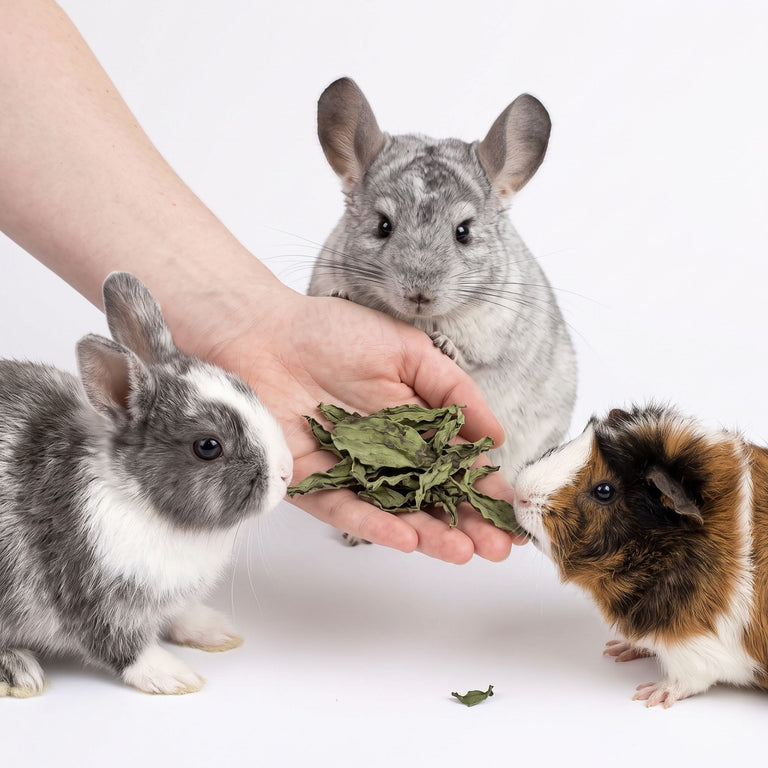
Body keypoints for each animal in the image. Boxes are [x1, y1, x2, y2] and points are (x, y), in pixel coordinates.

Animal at [0, 272, 292, 697]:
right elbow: (121, 645)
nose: (286, 472)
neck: (139, 499)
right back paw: (19, 672)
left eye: (247, 391)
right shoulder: (89, 592)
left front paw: (214, 633)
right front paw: (174, 676)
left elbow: (179, 615)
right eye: (208, 446)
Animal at [308, 77, 577, 487]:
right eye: (382, 225)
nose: (420, 294)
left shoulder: (496, 344)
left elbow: (472, 362)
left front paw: (445, 346)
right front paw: (343, 296)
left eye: (463, 232)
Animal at [513, 403, 768, 707]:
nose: (519, 492)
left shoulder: (696, 644)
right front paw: (618, 650)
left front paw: (652, 695)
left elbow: (689, 678)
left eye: (604, 490)